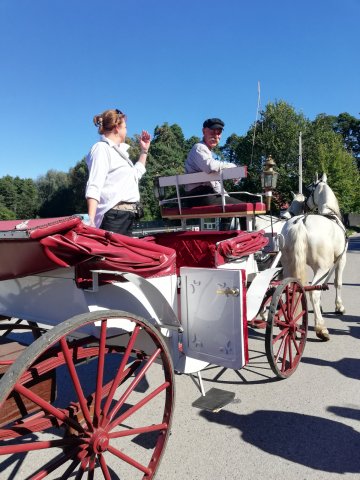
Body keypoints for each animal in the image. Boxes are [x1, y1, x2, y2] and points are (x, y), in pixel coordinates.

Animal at [280, 175, 348, 342]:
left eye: (307, 190)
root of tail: (300, 223)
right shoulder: (341, 259)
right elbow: (337, 283)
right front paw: (339, 307)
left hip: (288, 265)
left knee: (292, 290)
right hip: (323, 267)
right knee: (313, 293)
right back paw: (321, 329)